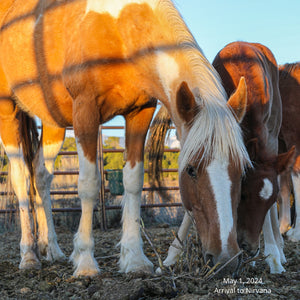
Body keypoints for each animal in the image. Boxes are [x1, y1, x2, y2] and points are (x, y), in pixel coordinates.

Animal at [0, 0, 248, 276]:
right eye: (191, 170)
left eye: (241, 170)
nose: (227, 259)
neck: (118, 28)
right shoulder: (85, 110)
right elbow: (89, 184)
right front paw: (85, 261)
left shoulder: (140, 112)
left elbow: (133, 181)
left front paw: (134, 259)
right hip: (8, 110)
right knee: (21, 177)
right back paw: (29, 255)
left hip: (53, 122)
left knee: (41, 177)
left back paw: (51, 248)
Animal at [157, 41, 296, 274]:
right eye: (243, 195)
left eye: (270, 202)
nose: (249, 248)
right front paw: (171, 256)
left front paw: (273, 257)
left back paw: (277, 247)